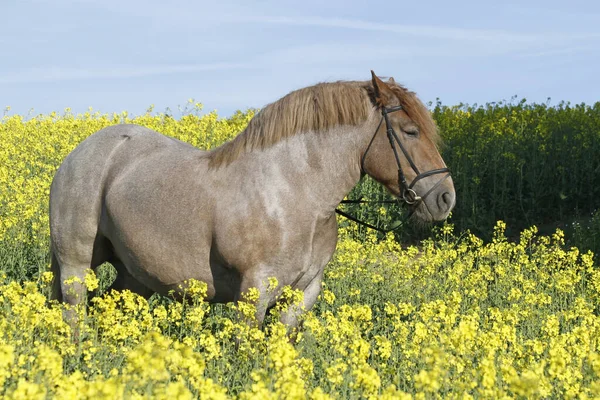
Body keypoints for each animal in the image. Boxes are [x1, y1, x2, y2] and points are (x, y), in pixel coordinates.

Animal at [50, 71, 454, 328]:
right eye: (410, 131)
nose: (445, 197)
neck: (296, 192)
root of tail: (81, 152)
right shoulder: (254, 293)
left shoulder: (302, 296)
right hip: (76, 266)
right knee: (74, 316)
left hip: (135, 275)